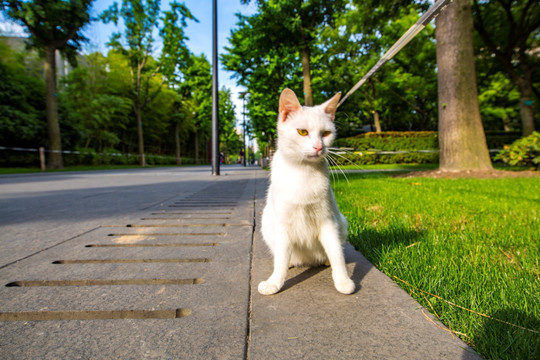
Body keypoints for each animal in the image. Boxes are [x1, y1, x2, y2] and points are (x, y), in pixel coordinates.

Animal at [258, 88, 354, 296]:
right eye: (302, 132)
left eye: (326, 133)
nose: (318, 147)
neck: (303, 172)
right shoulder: (282, 224)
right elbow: (281, 259)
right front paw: (274, 282)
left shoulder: (328, 222)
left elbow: (337, 254)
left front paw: (343, 279)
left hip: (342, 223)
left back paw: (325, 261)